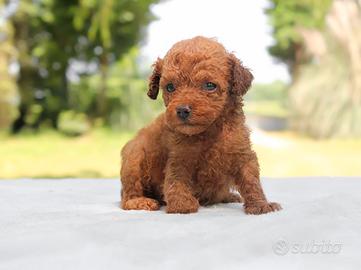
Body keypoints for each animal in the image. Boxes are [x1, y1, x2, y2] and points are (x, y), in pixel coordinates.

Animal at [121, 35, 282, 214]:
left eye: (209, 85)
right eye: (170, 87)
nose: (182, 110)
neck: (211, 129)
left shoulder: (242, 152)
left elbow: (251, 180)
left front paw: (260, 205)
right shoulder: (180, 156)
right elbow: (177, 179)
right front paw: (181, 205)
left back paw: (228, 196)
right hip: (134, 158)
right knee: (127, 195)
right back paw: (141, 201)